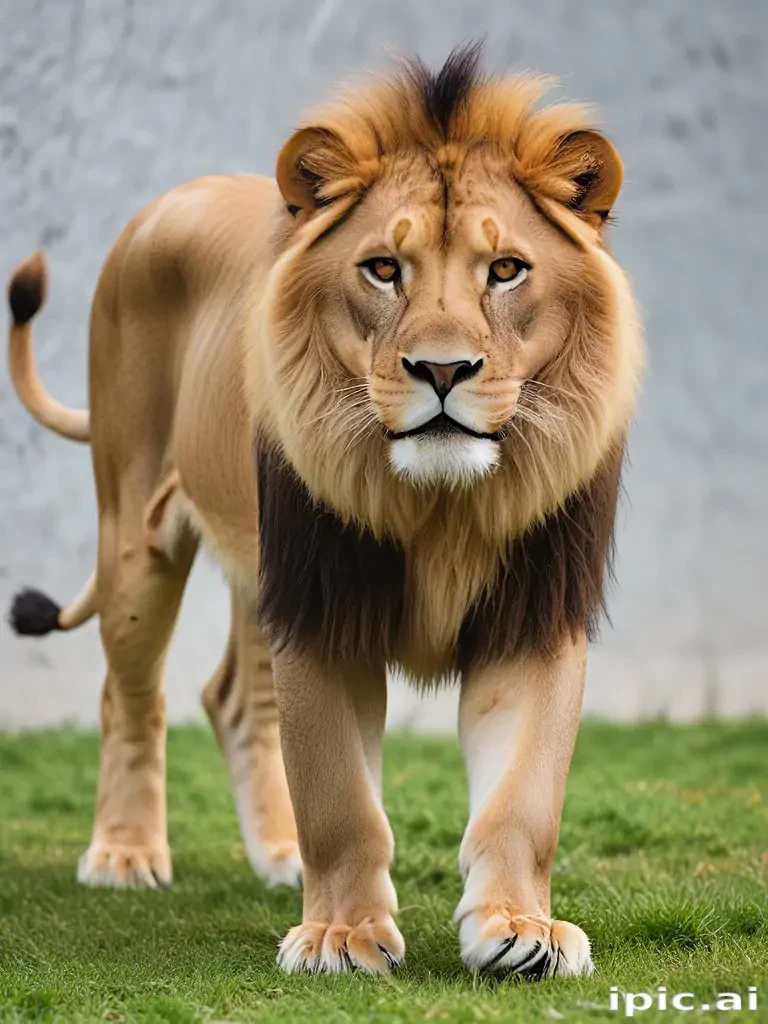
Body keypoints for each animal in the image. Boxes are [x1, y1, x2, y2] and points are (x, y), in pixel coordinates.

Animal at [7, 45, 643, 978]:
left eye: (505, 270)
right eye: (383, 268)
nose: (442, 370)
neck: (440, 507)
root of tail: (166, 201)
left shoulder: (534, 609)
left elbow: (521, 799)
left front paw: (519, 929)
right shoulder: (320, 603)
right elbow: (339, 795)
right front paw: (342, 936)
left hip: (256, 572)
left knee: (234, 699)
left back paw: (278, 857)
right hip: (135, 537)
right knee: (130, 695)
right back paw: (124, 855)